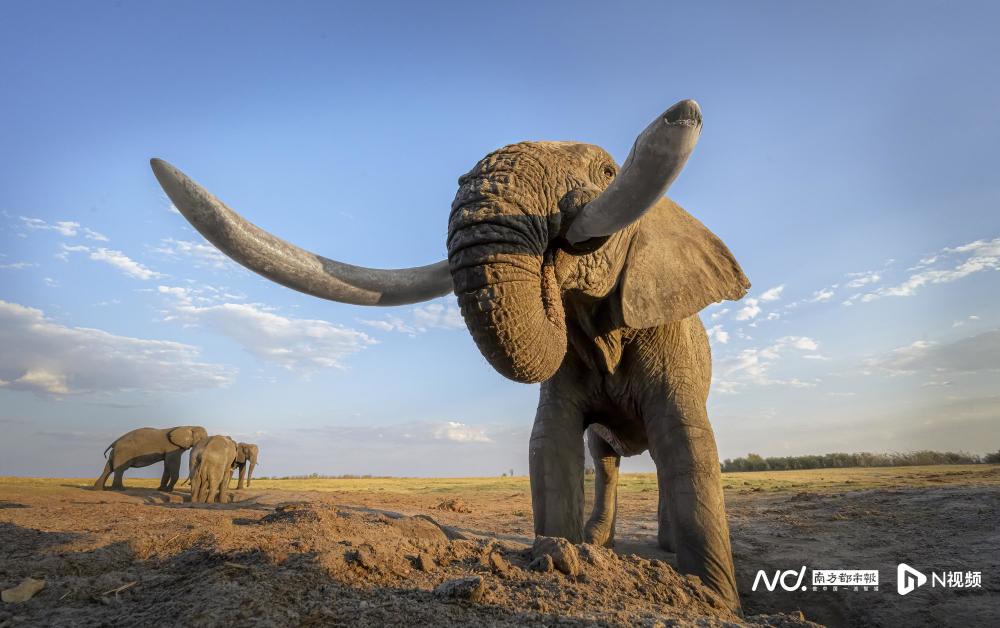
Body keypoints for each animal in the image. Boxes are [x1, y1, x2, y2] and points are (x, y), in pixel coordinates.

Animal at [150, 99, 749, 609]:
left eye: (608, 172)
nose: (554, 258)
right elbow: (549, 443)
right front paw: (561, 559)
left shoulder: (670, 336)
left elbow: (688, 442)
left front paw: (714, 600)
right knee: (603, 458)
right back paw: (597, 544)